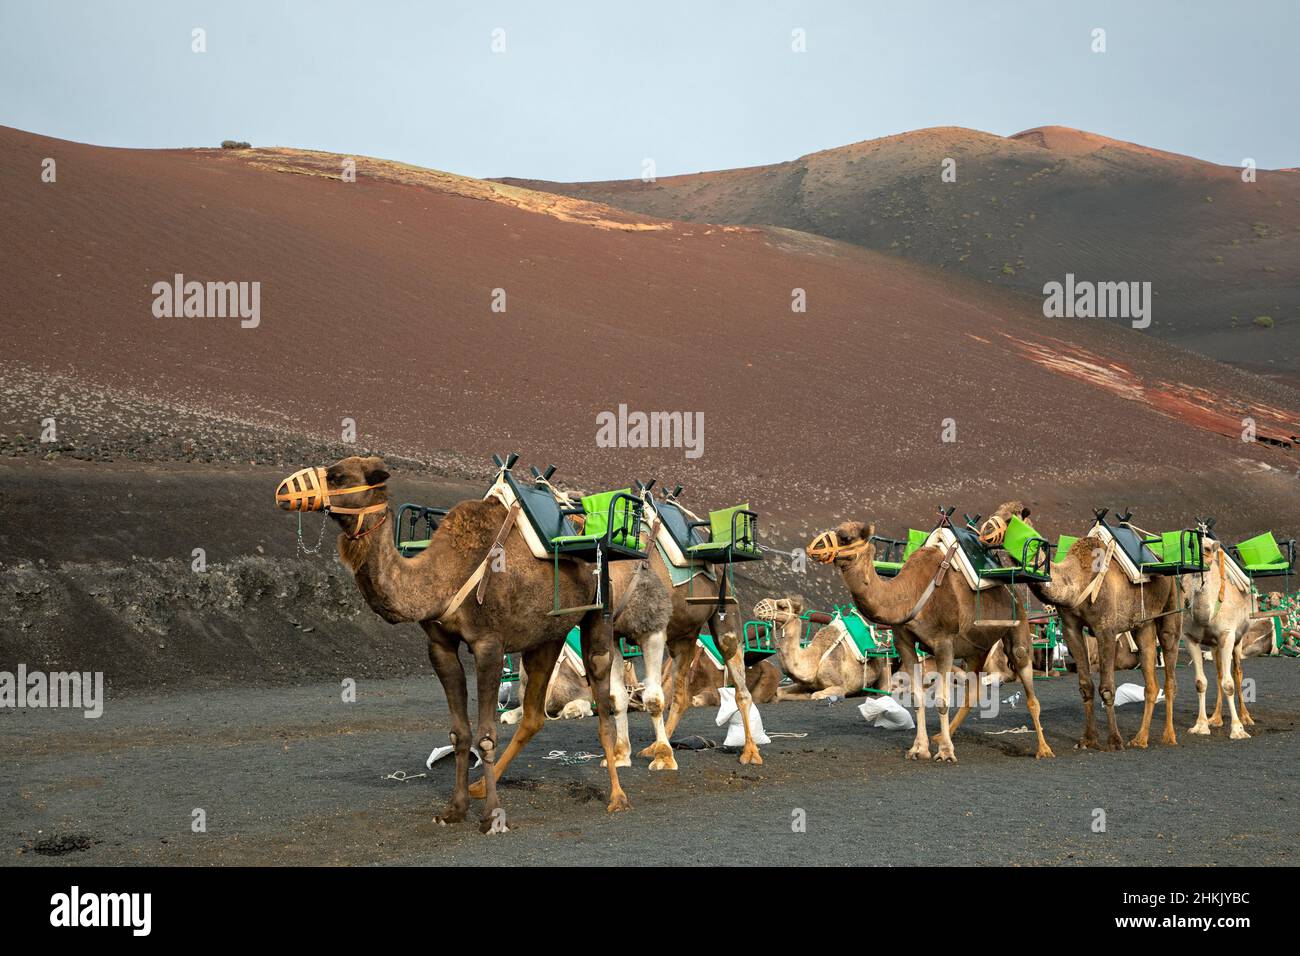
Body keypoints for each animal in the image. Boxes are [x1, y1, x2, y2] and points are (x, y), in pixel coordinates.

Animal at [274, 457, 670, 832]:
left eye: (338, 476)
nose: (282, 492)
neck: (443, 575)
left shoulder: (488, 644)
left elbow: (486, 735)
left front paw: (492, 817)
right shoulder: (440, 645)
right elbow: (460, 732)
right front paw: (454, 809)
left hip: (598, 616)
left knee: (605, 703)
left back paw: (618, 795)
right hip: (547, 636)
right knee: (533, 715)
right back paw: (481, 785)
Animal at [806, 522, 1050, 764]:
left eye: (845, 537)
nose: (812, 548)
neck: (908, 595)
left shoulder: (944, 644)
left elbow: (942, 700)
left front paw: (946, 753)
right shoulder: (904, 643)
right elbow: (916, 698)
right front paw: (919, 749)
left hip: (1018, 623)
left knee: (1026, 678)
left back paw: (1044, 749)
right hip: (976, 648)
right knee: (973, 691)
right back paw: (941, 736)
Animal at [977, 504, 1185, 749]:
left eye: (1010, 518)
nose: (983, 532)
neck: (1076, 581)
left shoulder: (1106, 629)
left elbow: (1107, 689)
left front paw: (1114, 740)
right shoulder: (1071, 629)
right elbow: (1085, 686)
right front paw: (1088, 739)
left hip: (1171, 610)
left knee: (1170, 671)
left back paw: (1169, 735)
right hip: (1142, 624)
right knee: (1150, 680)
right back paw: (1140, 738)